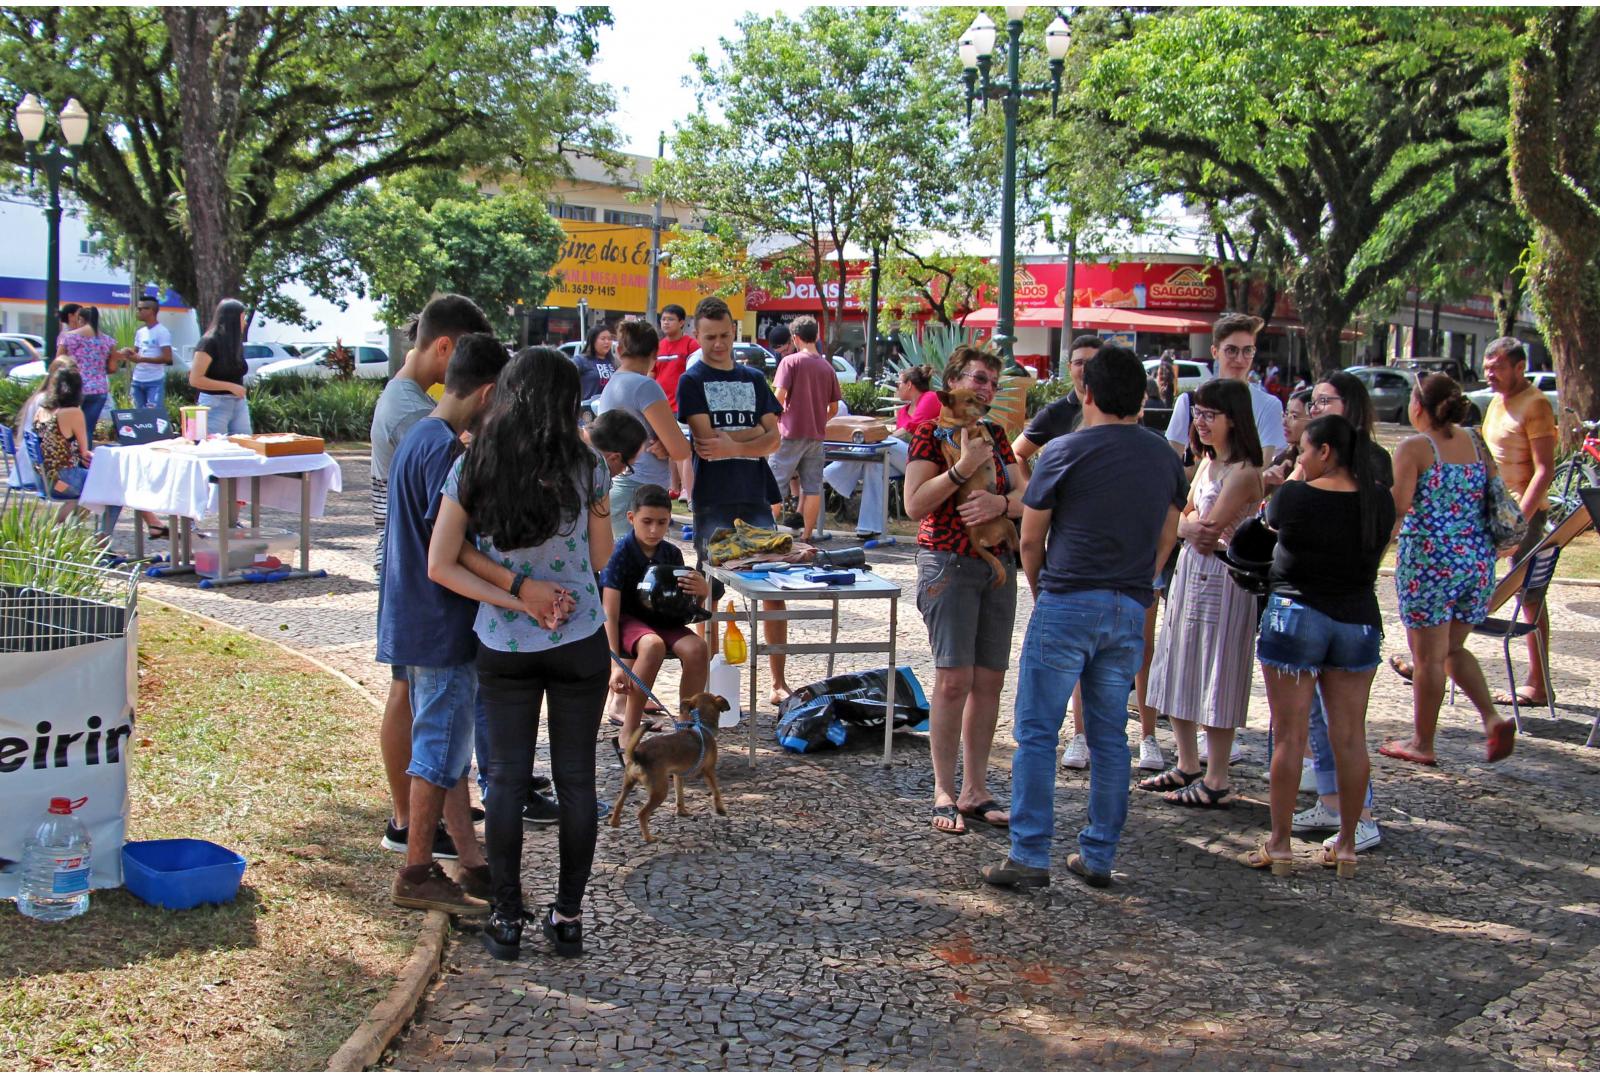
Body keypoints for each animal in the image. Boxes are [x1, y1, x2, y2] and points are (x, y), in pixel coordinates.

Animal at [604, 694, 732, 844]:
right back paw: (648, 837)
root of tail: (638, 755)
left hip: (629, 783)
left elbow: (680, 794)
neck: (701, 725)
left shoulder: (678, 775)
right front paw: (720, 809)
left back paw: (614, 822)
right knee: (642, 814)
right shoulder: (709, 770)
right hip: (660, 791)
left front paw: (682, 812)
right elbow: (716, 790)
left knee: (619, 802)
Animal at [934, 388, 1017, 592]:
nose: (988, 407)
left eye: (978, 396)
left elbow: (979, 425)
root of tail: (972, 535)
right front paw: (987, 437)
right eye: (969, 400)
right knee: (1015, 543)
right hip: (1008, 524)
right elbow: (978, 428)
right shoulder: (964, 446)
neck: (952, 427)